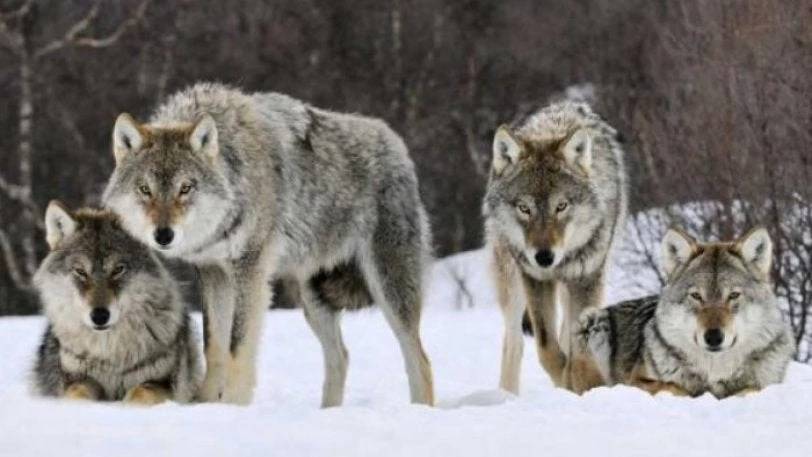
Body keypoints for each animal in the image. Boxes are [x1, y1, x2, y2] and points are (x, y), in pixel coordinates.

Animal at [32, 201, 202, 404]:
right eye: (80, 271)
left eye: (118, 270)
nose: (99, 316)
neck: (109, 353)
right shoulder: (77, 380)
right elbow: (77, 394)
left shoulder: (161, 383)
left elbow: (140, 393)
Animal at [104, 82, 434, 406]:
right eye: (145, 189)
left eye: (185, 188)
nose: (163, 235)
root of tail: (396, 143)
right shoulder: (213, 271)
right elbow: (214, 345)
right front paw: (206, 403)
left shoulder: (250, 269)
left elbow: (237, 346)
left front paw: (233, 406)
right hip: (313, 300)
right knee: (341, 356)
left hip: (388, 288)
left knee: (420, 359)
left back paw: (420, 409)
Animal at [482, 100, 628, 392]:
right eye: (524, 208)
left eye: (561, 206)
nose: (544, 257)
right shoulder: (535, 279)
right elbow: (547, 347)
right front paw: (565, 379)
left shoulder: (587, 278)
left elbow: (577, 349)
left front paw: (581, 383)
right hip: (512, 283)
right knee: (514, 343)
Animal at [576, 226, 792, 398]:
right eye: (696, 296)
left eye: (733, 295)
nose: (714, 337)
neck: (714, 371)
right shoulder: (634, 381)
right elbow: (673, 386)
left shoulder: (764, 385)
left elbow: (752, 389)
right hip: (592, 321)